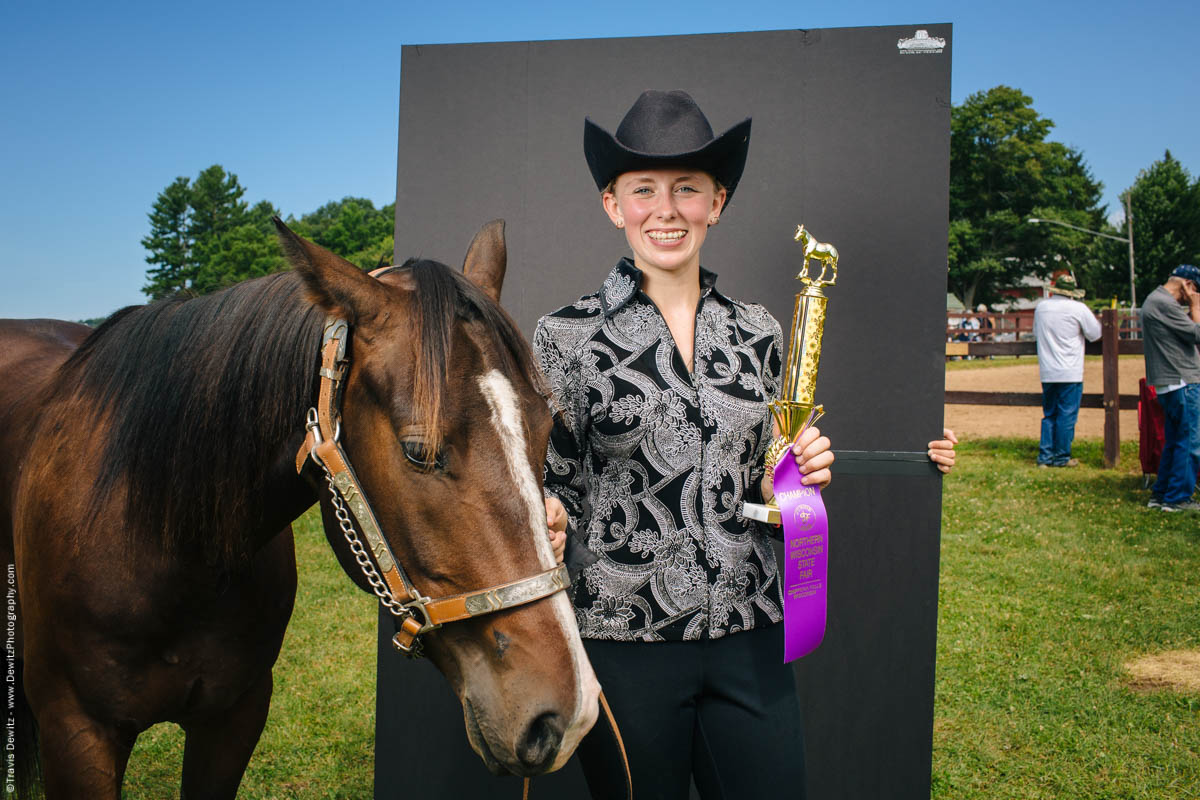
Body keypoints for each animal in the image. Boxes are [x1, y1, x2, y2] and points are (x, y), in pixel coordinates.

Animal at [0, 220, 600, 800]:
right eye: (418, 450)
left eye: (546, 429)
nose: (568, 715)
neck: (166, 541)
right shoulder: (75, 733)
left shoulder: (234, 718)